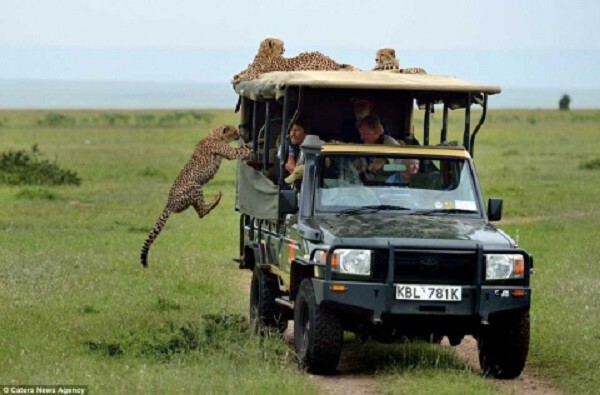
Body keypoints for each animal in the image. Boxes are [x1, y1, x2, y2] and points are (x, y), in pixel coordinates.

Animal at [141, 125, 251, 268]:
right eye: (234, 132)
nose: (239, 135)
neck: (215, 135)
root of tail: (168, 203)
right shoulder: (229, 153)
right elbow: (240, 151)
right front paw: (252, 146)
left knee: (199, 211)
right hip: (195, 186)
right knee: (202, 211)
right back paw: (215, 201)